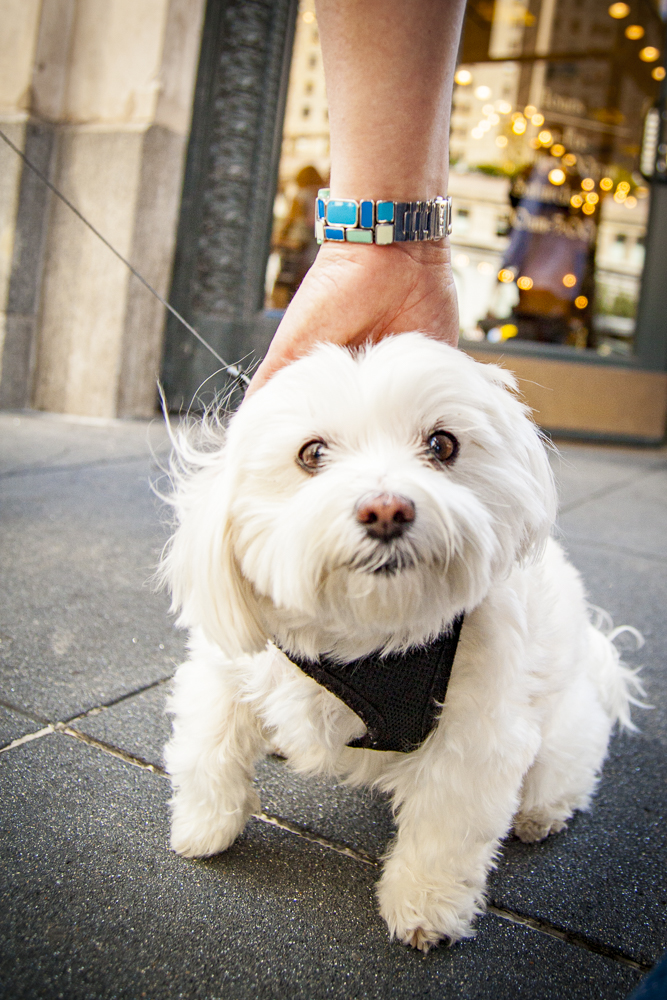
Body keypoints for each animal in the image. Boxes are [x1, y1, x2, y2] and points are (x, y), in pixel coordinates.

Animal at [160, 336, 640, 952]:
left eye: (442, 444)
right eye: (312, 454)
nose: (386, 509)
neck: (368, 636)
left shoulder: (473, 738)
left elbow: (444, 830)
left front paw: (424, 906)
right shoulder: (228, 670)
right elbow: (209, 747)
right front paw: (204, 826)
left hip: (562, 732)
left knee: (567, 768)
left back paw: (540, 815)